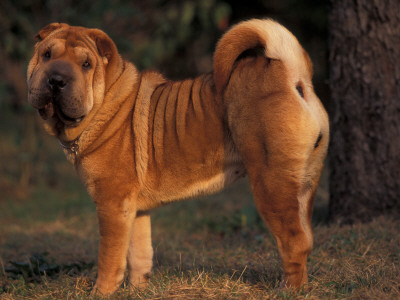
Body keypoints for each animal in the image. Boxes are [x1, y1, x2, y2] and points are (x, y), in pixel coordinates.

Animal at [27, 19, 328, 296]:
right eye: (47, 55)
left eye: (86, 64)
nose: (56, 80)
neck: (104, 104)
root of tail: (291, 72)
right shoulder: (134, 209)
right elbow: (139, 252)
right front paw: (138, 290)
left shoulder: (112, 204)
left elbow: (110, 257)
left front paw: (101, 293)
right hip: (304, 185)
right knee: (308, 237)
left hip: (271, 184)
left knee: (293, 241)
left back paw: (289, 290)